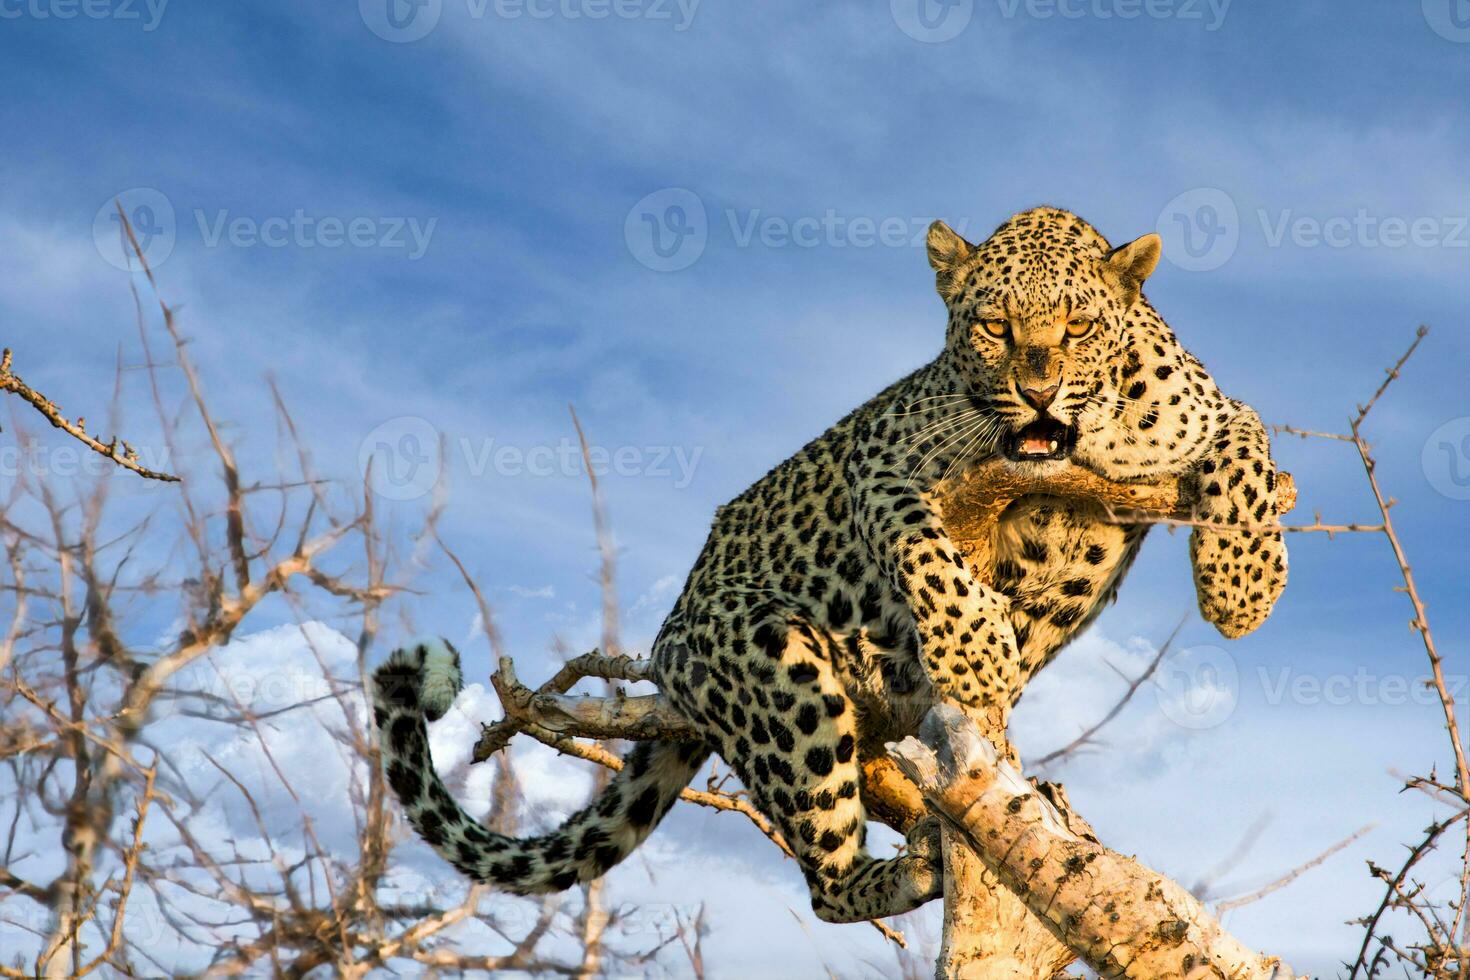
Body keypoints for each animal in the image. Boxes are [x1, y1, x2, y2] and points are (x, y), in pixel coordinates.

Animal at [370, 205, 1287, 928]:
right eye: (995, 328)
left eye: (1078, 327)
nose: (1038, 390)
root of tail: (670, 644)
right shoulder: (879, 461)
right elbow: (920, 543)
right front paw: (975, 653)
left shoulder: (1211, 413)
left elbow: (1251, 448)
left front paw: (1243, 589)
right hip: (779, 671)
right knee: (823, 874)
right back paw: (903, 866)